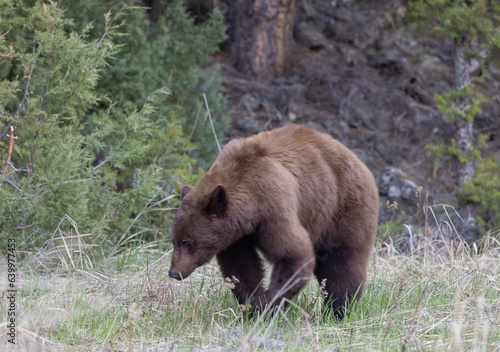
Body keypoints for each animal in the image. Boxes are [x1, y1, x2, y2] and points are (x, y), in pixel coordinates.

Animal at [168, 124, 378, 320]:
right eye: (174, 241)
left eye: (187, 242)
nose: (173, 272)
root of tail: (359, 161)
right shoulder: (235, 235)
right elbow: (241, 266)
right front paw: (249, 302)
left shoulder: (273, 206)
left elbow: (293, 255)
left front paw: (262, 306)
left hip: (343, 207)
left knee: (342, 262)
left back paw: (338, 311)